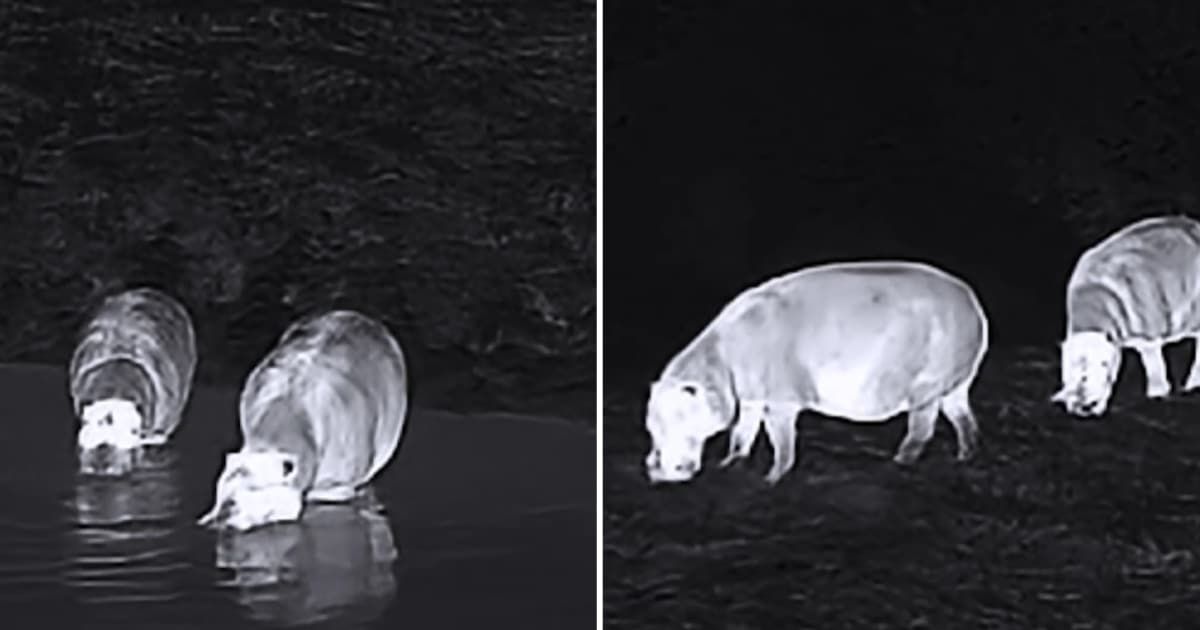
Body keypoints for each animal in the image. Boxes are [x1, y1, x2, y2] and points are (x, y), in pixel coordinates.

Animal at [643, 260, 989, 484]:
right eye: (650, 424)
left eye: (681, 413)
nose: (657, 469)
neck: (718, 362)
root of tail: (974, 306)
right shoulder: (752, 395)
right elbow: (742, 433)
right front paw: (730, 463)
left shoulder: (779, 398)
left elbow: (781, 441)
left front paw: (771, 479)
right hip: (954, 381)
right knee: (962, 418)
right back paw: (965, 456)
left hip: (927, 382)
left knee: (922, 428)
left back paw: (898, 462)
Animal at [1054, 214, 1200, 417]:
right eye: (1069, 370)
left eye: (1104, 365)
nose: (1085, 406)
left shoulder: (1148, 338)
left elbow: (1155, 371)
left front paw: (1157, 395)